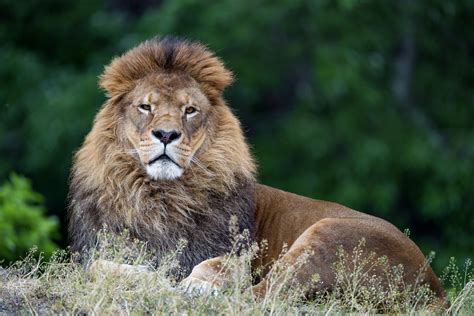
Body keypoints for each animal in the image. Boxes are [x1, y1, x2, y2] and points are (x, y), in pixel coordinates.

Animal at [67, 35, 444, 302]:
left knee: (262, 295)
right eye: (146, 107)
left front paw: (192, 283)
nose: (166, 134)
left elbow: (218, 266)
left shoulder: (236, 257)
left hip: (326, 234)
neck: (164, 195)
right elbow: (98, 267)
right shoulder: (97, 252)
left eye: (190, 110)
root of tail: (433, 284)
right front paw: (148, 276)